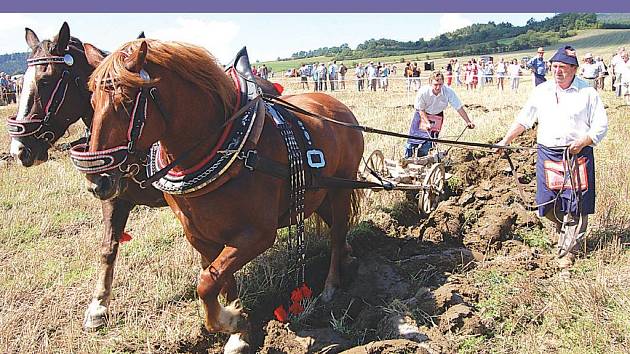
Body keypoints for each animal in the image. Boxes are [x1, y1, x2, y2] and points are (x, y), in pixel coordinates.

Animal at [6, 22, 282, 332]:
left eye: (46, 81)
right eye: (21, 83)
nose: (19, 150)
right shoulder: (113, 194)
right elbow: (108, 247)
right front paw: (98, 306)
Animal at [78, 38, 366, 352]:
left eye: (127, 101)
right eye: (92, 102)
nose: (97, 180)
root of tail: (340, 107)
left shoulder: (258, 234)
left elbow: (206, 282)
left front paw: (233, 321)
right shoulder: (200, 236)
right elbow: (220, 279)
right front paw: (238, 329)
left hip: (340, 189)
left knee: (337, 233)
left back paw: (331, 286)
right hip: (320, 194)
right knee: (337, 229)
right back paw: (349, 257)